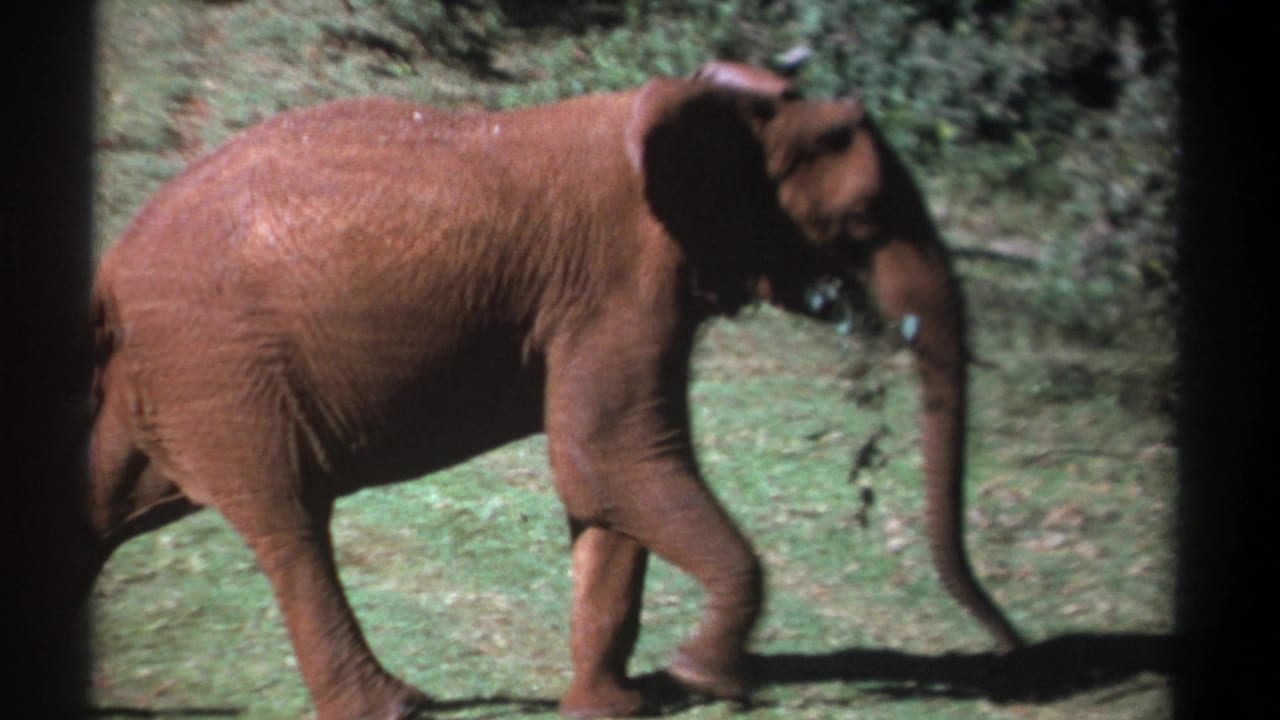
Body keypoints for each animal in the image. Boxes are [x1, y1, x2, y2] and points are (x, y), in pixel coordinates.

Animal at [76, 61, 1023, 719]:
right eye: (863, 221)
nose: (1011, 649)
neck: (708, 103)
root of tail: (109, 273)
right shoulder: (619, 285)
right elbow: (611, 461)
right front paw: (703, 677)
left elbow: (608, 494)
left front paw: (615, 707)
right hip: (223, 370)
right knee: (291, 525)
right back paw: (397, 706)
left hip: (170, 378)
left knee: (107, 509)